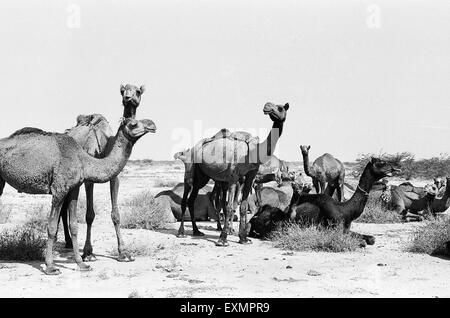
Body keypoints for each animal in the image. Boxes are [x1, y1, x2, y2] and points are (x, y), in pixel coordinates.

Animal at [0, 117, 156, 274]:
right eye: (133, 124)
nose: (152, 125)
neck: (83, 160)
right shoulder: (59, 189)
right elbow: (52, 227)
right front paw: (50, 267)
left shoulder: (74, 188)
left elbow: (74, 225)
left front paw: (82, 264)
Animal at [59, 83, 146, 262]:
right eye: (123, 91)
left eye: (137, 91)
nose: (128, 97)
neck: (105, 147)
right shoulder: (89, 179)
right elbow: (89, 215)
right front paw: (88, 252)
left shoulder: (115, 177)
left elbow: (116, 214)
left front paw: (124, 252)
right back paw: (69, 242)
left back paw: (69, 242)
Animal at [178, 102, 290, 246]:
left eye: (280, 108)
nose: (267, 106)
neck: (252, 153)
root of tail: (192, 149)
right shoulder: (233, 178)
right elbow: (229, 206)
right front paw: (222, 239)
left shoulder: (250, 178)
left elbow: (242, 206)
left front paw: (244, 238)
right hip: (190, 169)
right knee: (186, 196)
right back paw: (181, 232)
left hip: (202, 177)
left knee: (192, 199)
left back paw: (197, 231)